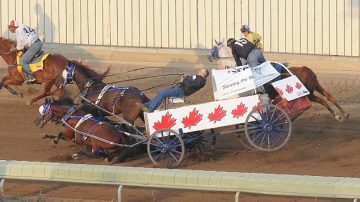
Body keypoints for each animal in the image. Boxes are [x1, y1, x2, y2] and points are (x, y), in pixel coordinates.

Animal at [210, 38, 350, 122]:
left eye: (214, 47)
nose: (210, 55)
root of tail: (306, 70)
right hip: (315, 87)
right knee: (328, 97)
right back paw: (343, 115)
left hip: (309, 94)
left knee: (324, 100)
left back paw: (339, 116)